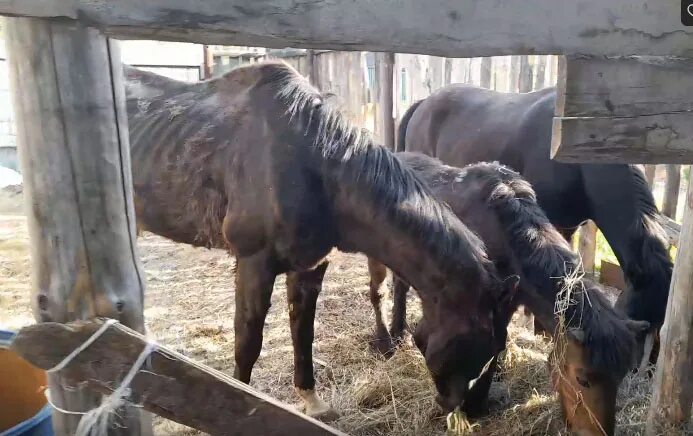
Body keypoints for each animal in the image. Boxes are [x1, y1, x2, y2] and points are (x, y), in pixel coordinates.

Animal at [124, 62, 516, 418]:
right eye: (477, 337)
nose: (462, 407)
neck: (313, 166)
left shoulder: (310, 266)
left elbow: (304, 332)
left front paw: (312, 401)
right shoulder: (253, 263)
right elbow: (248, 343)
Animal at [368, 155, 648, 434]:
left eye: (620, 377)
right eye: (582, 379)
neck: (503, 232)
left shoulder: (506, 304)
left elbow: (497, 346)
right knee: (379, 292)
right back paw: (386, 342)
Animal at [398, 84, 672, 362]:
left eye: (662, 322)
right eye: (642, 319)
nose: (646, 367)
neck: (579, 164)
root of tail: (423, 103)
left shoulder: (568, 226)